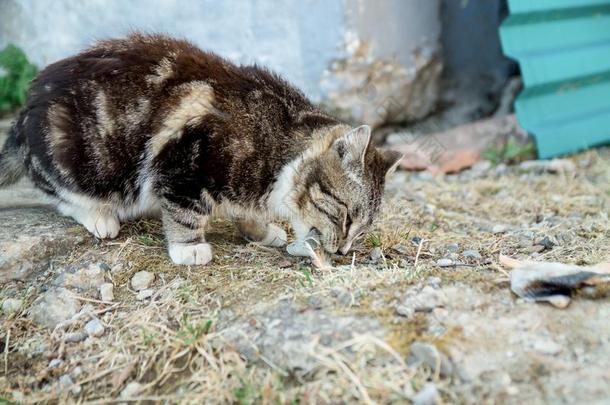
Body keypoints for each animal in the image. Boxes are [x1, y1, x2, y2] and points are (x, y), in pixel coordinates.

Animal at [1, 34, 404, 266]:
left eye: (363, 230)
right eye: (347, 217)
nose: (343, 252)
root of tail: (23, 117)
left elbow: (245, 211)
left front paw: (261, 230)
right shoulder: (184, 163)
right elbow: (185, 212)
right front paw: (189, 248)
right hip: (82, 161)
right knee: (58, 192)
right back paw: (99, 215)